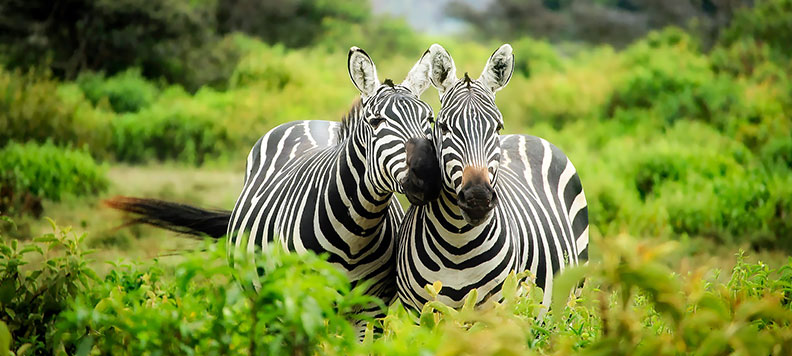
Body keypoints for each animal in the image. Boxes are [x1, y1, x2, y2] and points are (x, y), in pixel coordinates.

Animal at [106, 47, 442, 308]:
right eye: (375, 122)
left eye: (429, 119)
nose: (428, 175)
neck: (356, 231)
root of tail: (310, 120)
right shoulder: (301, 299)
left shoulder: (370, 309)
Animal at [396, 43, 588, 312]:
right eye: (443, 127)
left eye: (497, 127)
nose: (477, 199)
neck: (457, 244)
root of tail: (527, 136)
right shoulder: (419, 311)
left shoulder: (497, 310)